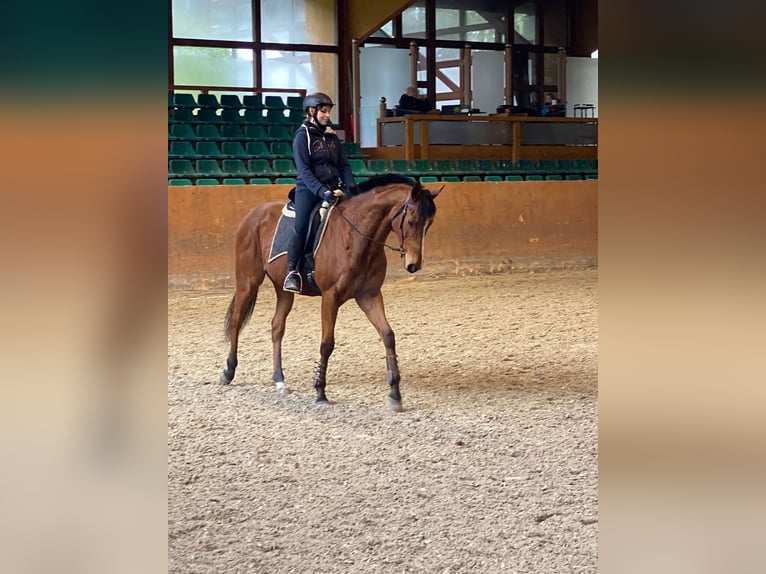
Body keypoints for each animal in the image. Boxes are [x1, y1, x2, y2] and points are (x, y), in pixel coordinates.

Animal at [220, 173, 444, 412]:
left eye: (429, 224)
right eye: (411, 221)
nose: (414, 265)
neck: (356, 238)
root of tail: (253, 213)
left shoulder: (369, 296)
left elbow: (388, 335)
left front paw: (395, 394)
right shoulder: (330, 297)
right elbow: (327, 344)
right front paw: (320, 392)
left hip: (283, 289)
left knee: (277, 326)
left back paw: (279, 380)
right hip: (248, 281)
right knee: (237, 320)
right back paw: (228, 372)